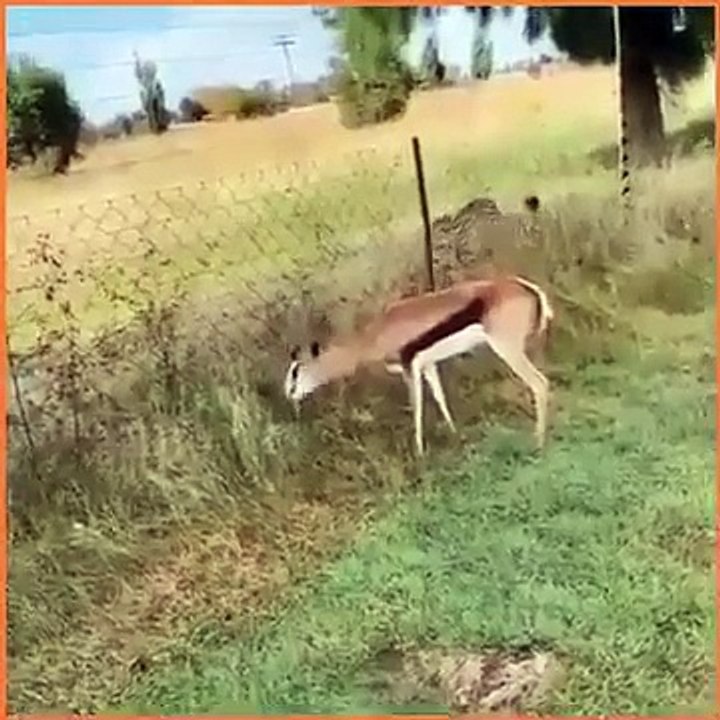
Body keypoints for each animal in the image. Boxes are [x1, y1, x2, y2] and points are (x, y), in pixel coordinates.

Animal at [284, 275, 553, 456]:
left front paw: (420, 454)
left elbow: (417, 409)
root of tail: (528, 288)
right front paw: (455, 434)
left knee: (539, 383)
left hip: (507, 349)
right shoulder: (428, 365)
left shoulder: (408, 368)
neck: (376, 336)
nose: (289, 394)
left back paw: (538, 443)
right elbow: (440, 398)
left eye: (296, 371)